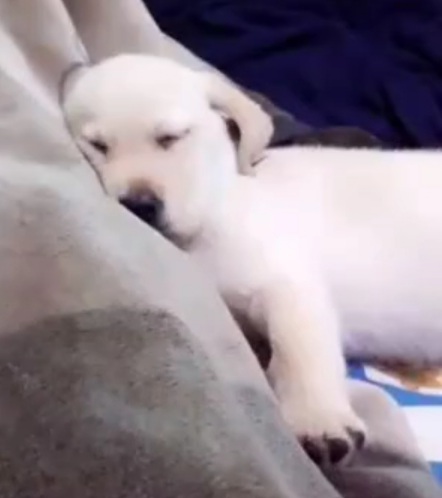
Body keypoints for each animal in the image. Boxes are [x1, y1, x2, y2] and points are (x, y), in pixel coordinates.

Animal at [62, 54, 442, 466]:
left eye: (172, 138)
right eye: (98, 145)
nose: (139, 205)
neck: (214, 209)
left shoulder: (288, 283)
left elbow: (299, 347)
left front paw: (318, 417)